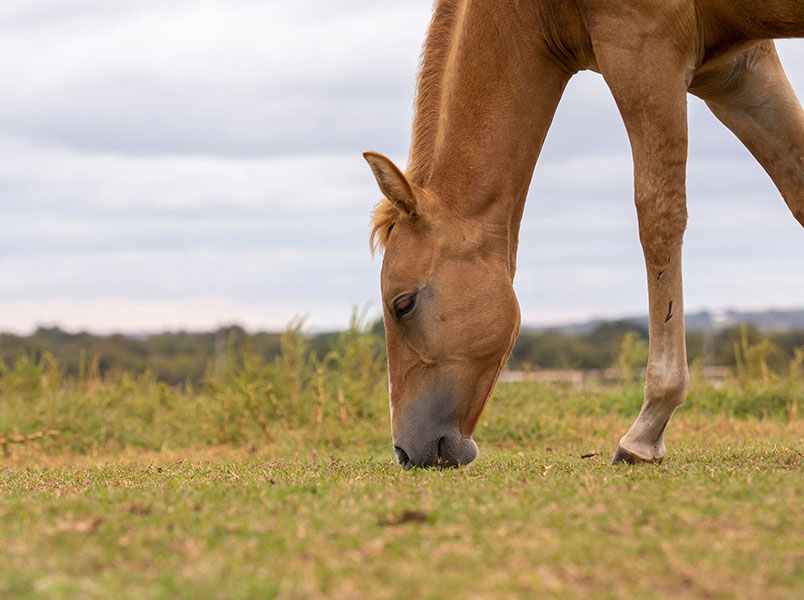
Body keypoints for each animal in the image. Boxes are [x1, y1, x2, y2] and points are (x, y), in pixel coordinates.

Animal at [362, 0, 804, 468]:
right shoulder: (737, 69)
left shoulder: (643, 53)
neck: (526, 13)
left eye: (403, 305)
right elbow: (798, 188)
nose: (406, 452)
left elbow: (658, 215)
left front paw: (647, 429)